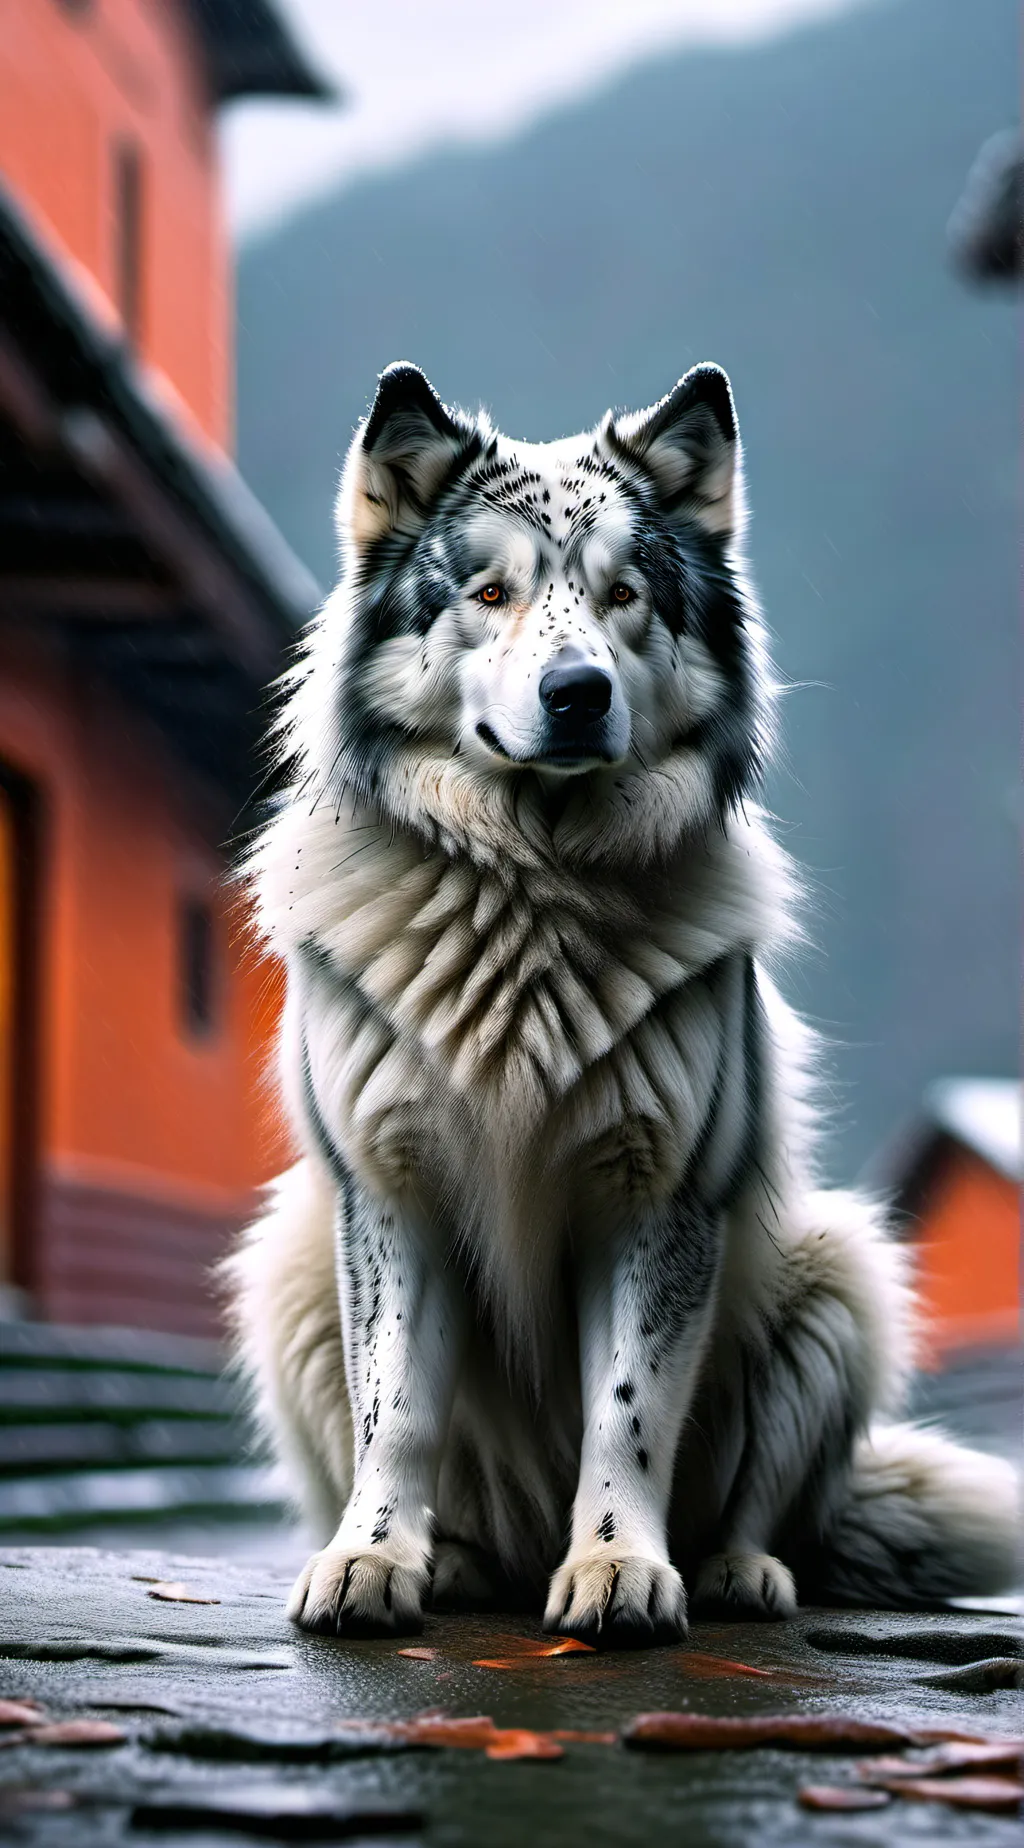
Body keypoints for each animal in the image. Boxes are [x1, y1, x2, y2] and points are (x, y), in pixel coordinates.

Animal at [224, 360, 1017, 1646]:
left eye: (626, 594)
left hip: (835, 1267)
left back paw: (738, 1574)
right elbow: (397, 1410)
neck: (529, 891)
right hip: (284, 1266)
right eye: (489, 590)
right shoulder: (387, 1193)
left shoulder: (660, 1199)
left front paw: (616, 1568)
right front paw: (373, 1560)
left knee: (759, 1506)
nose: (577, 693)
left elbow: (628, 1407)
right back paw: (456, 1564)